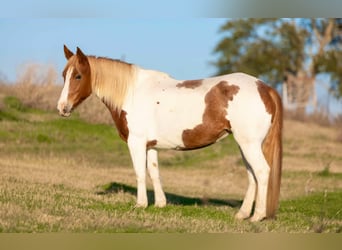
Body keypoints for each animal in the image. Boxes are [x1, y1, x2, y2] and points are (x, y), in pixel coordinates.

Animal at [58, 46, 284, 222]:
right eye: (63, 75)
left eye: (78, 76)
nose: (62, 108)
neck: (132, 93)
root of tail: (264, 87)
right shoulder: (151, 145)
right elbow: (154, 172)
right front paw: (160, 204)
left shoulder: (136, 142)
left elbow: (140, 172)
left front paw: (140, 204)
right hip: (244, 144)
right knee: (252, 175)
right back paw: (242, 214)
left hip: (249, 144)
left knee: (261, 171)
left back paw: (257, 216)